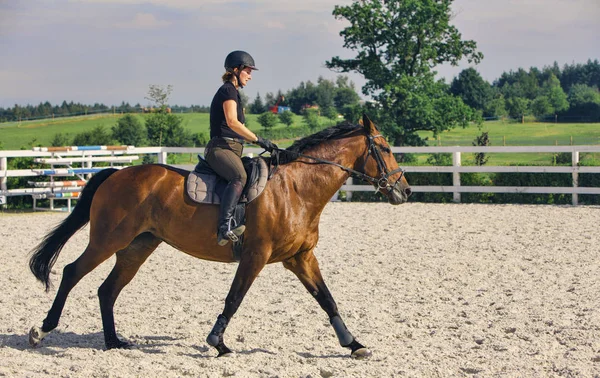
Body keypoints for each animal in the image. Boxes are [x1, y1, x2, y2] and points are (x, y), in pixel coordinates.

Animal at [29, 115, 412, 358]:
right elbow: (234, 298)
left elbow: (327, 299)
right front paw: (217, 342)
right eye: (386, 149)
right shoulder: (256, 256)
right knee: (71, 273)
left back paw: (114, 342)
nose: (405, 191)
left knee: (107, 290)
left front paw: (354, 344)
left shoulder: (300, 258)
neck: (296, 189)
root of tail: (116, 174)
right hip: (108, 240)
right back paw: (42, 330)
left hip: (137, 247)